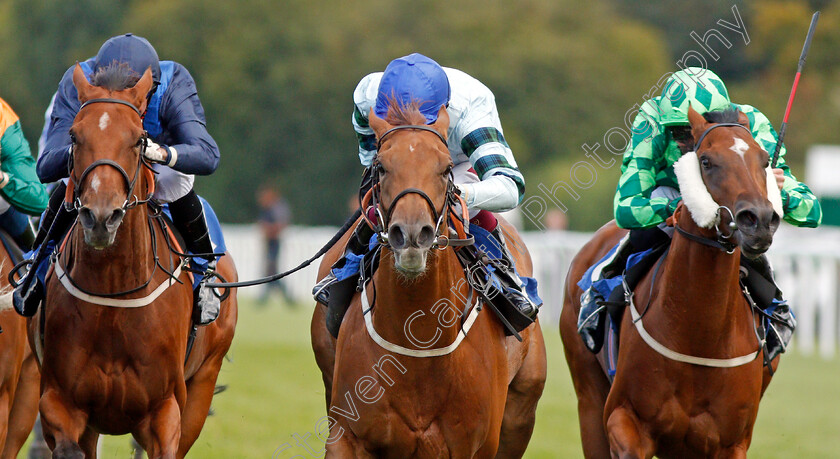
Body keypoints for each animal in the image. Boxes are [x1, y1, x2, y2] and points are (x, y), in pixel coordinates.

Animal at [312, 102, 548, 458]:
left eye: (445, 167)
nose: (411, 234)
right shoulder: (347, 436)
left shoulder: (477, 445)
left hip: (520, 413)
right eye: (381, 167)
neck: (420, 336)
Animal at [560, 106, 784, 458]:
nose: (759, 221)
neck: (699, 334)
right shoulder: (625, 421)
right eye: (706, 161)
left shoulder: (731, 442)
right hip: (589, 397)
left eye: (764, 160)